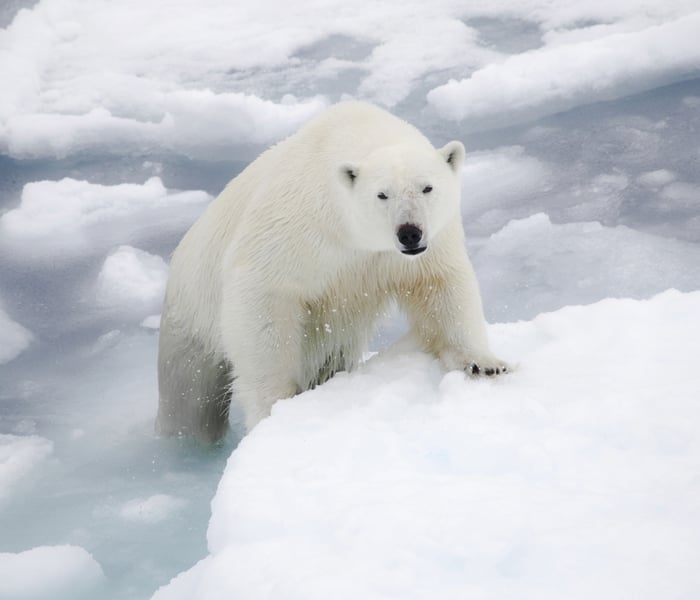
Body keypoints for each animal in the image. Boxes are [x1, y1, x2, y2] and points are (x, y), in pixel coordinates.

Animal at [157, 101, 508, 443]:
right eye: (382, 194)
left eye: (427, 188)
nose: (409, 232)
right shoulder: (293, 227)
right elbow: (262, 299)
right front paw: (274, 408)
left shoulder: (424, 247)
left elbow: (440, 286)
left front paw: (484, 364)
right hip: (191, 317)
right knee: (190, 395)